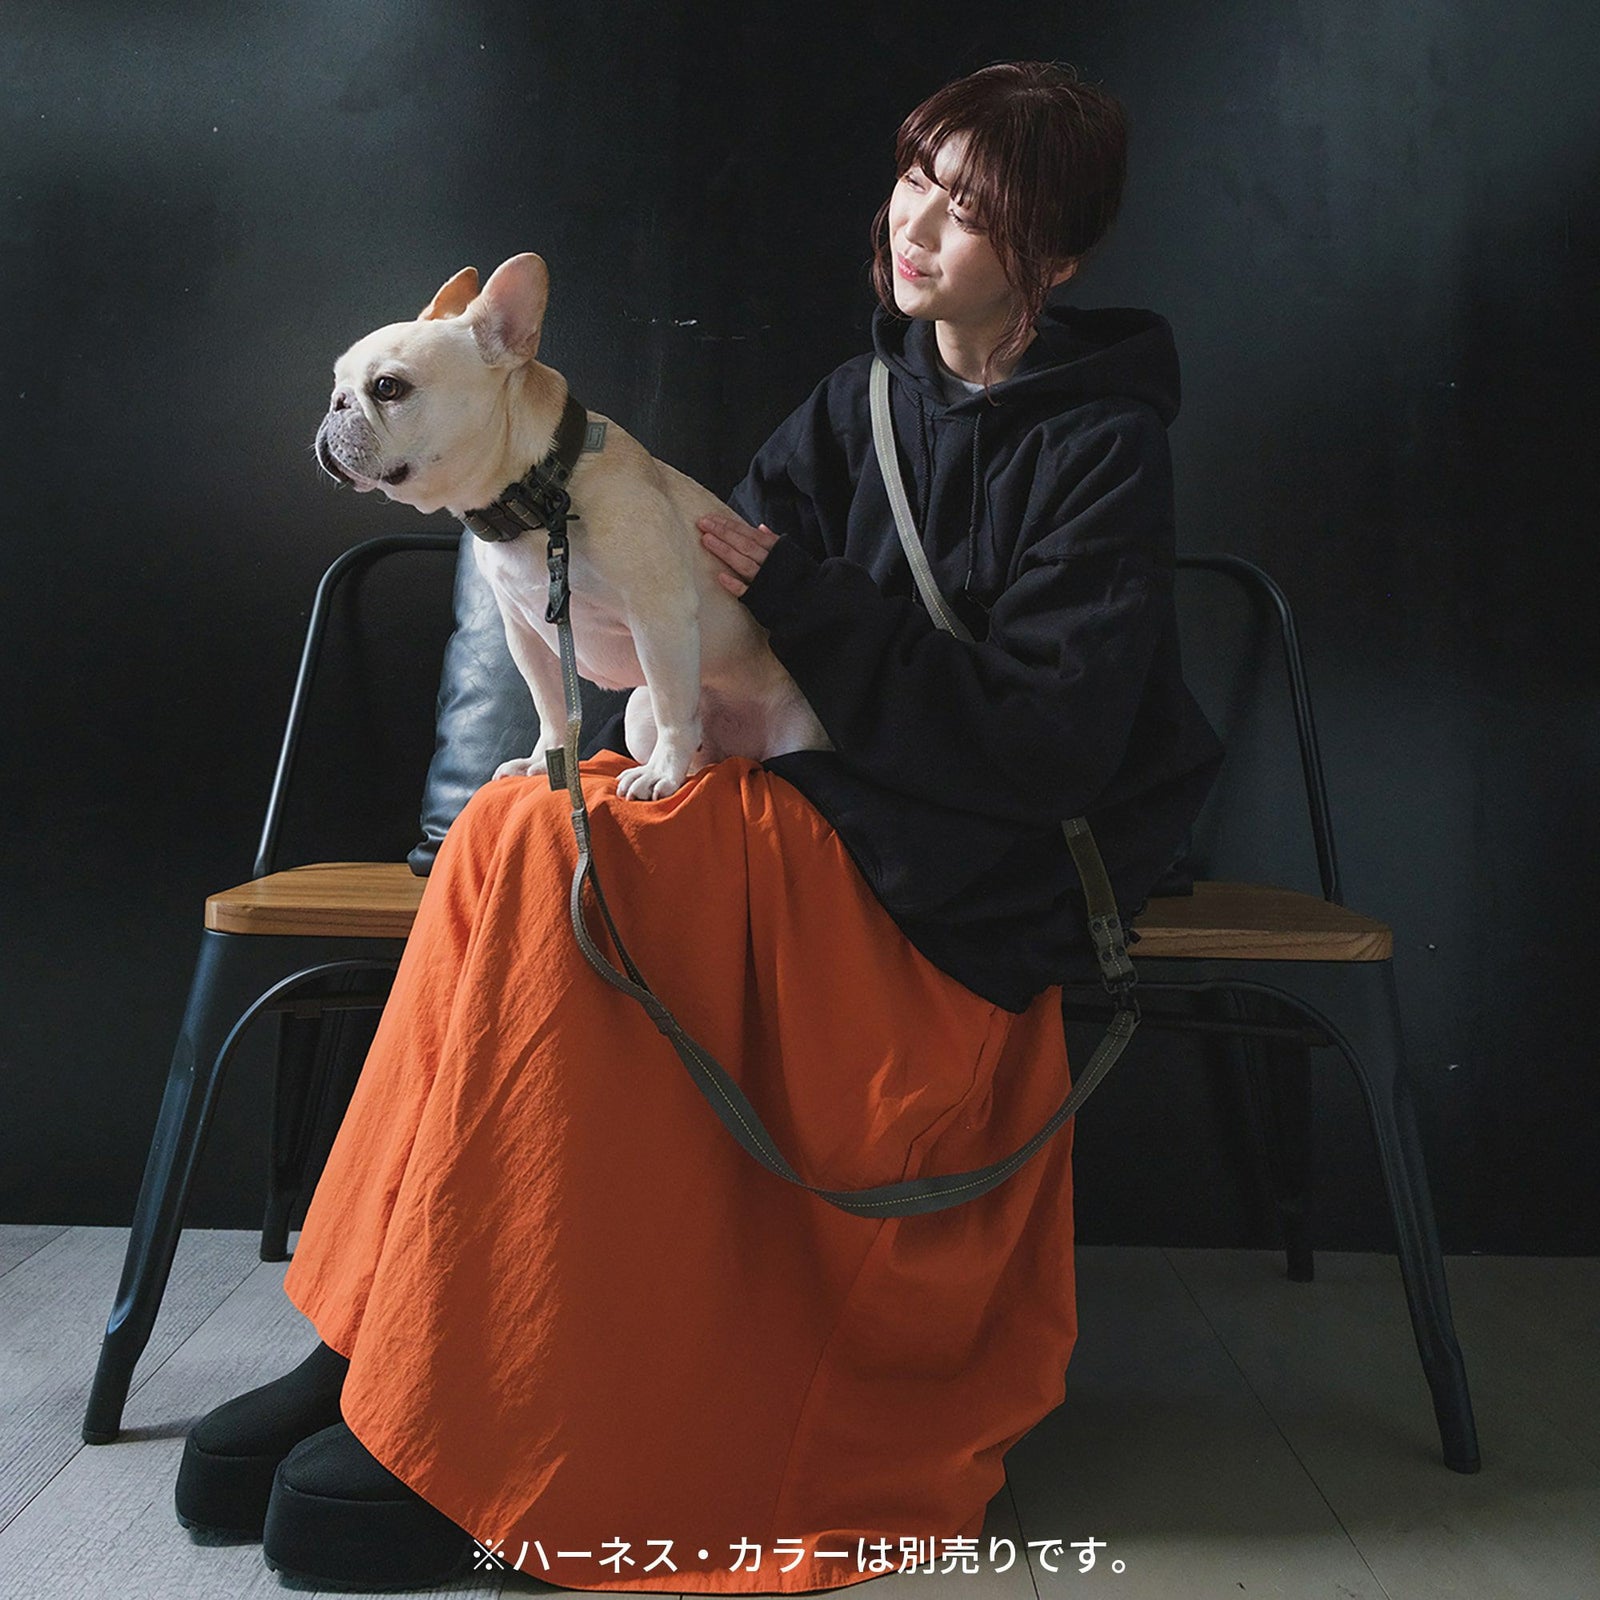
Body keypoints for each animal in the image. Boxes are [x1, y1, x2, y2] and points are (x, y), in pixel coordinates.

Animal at [314, 252, 828, 800]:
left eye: (388, 387)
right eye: (337, 384)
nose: (336, 403)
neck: (540, 495)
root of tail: (745, 752)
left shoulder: (660, 618)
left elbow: (673, 705)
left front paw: (661, 773)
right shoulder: (525, 633)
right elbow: (551, 707)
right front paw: (546, 760)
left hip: (786, 731)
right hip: (639, 716)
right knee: (698, 746)